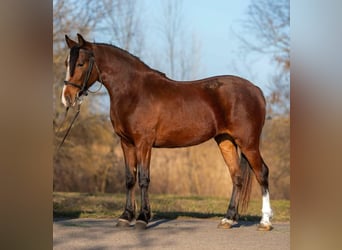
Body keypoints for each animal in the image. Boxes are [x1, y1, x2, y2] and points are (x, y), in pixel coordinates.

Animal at [61, 34, 274, 231]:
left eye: (80, 64)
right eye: (66, 63)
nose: (67, 98)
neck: (133, 91)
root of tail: (256, 90)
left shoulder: (144, 143)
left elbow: (143, 179)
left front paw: (142, 218)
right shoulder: (126, 142)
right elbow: (130, 179)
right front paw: (125, 216)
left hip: (248, 143)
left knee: (262, 173)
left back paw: (265, 222)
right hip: (226, 140)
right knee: (236, 176)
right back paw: (228, 219)